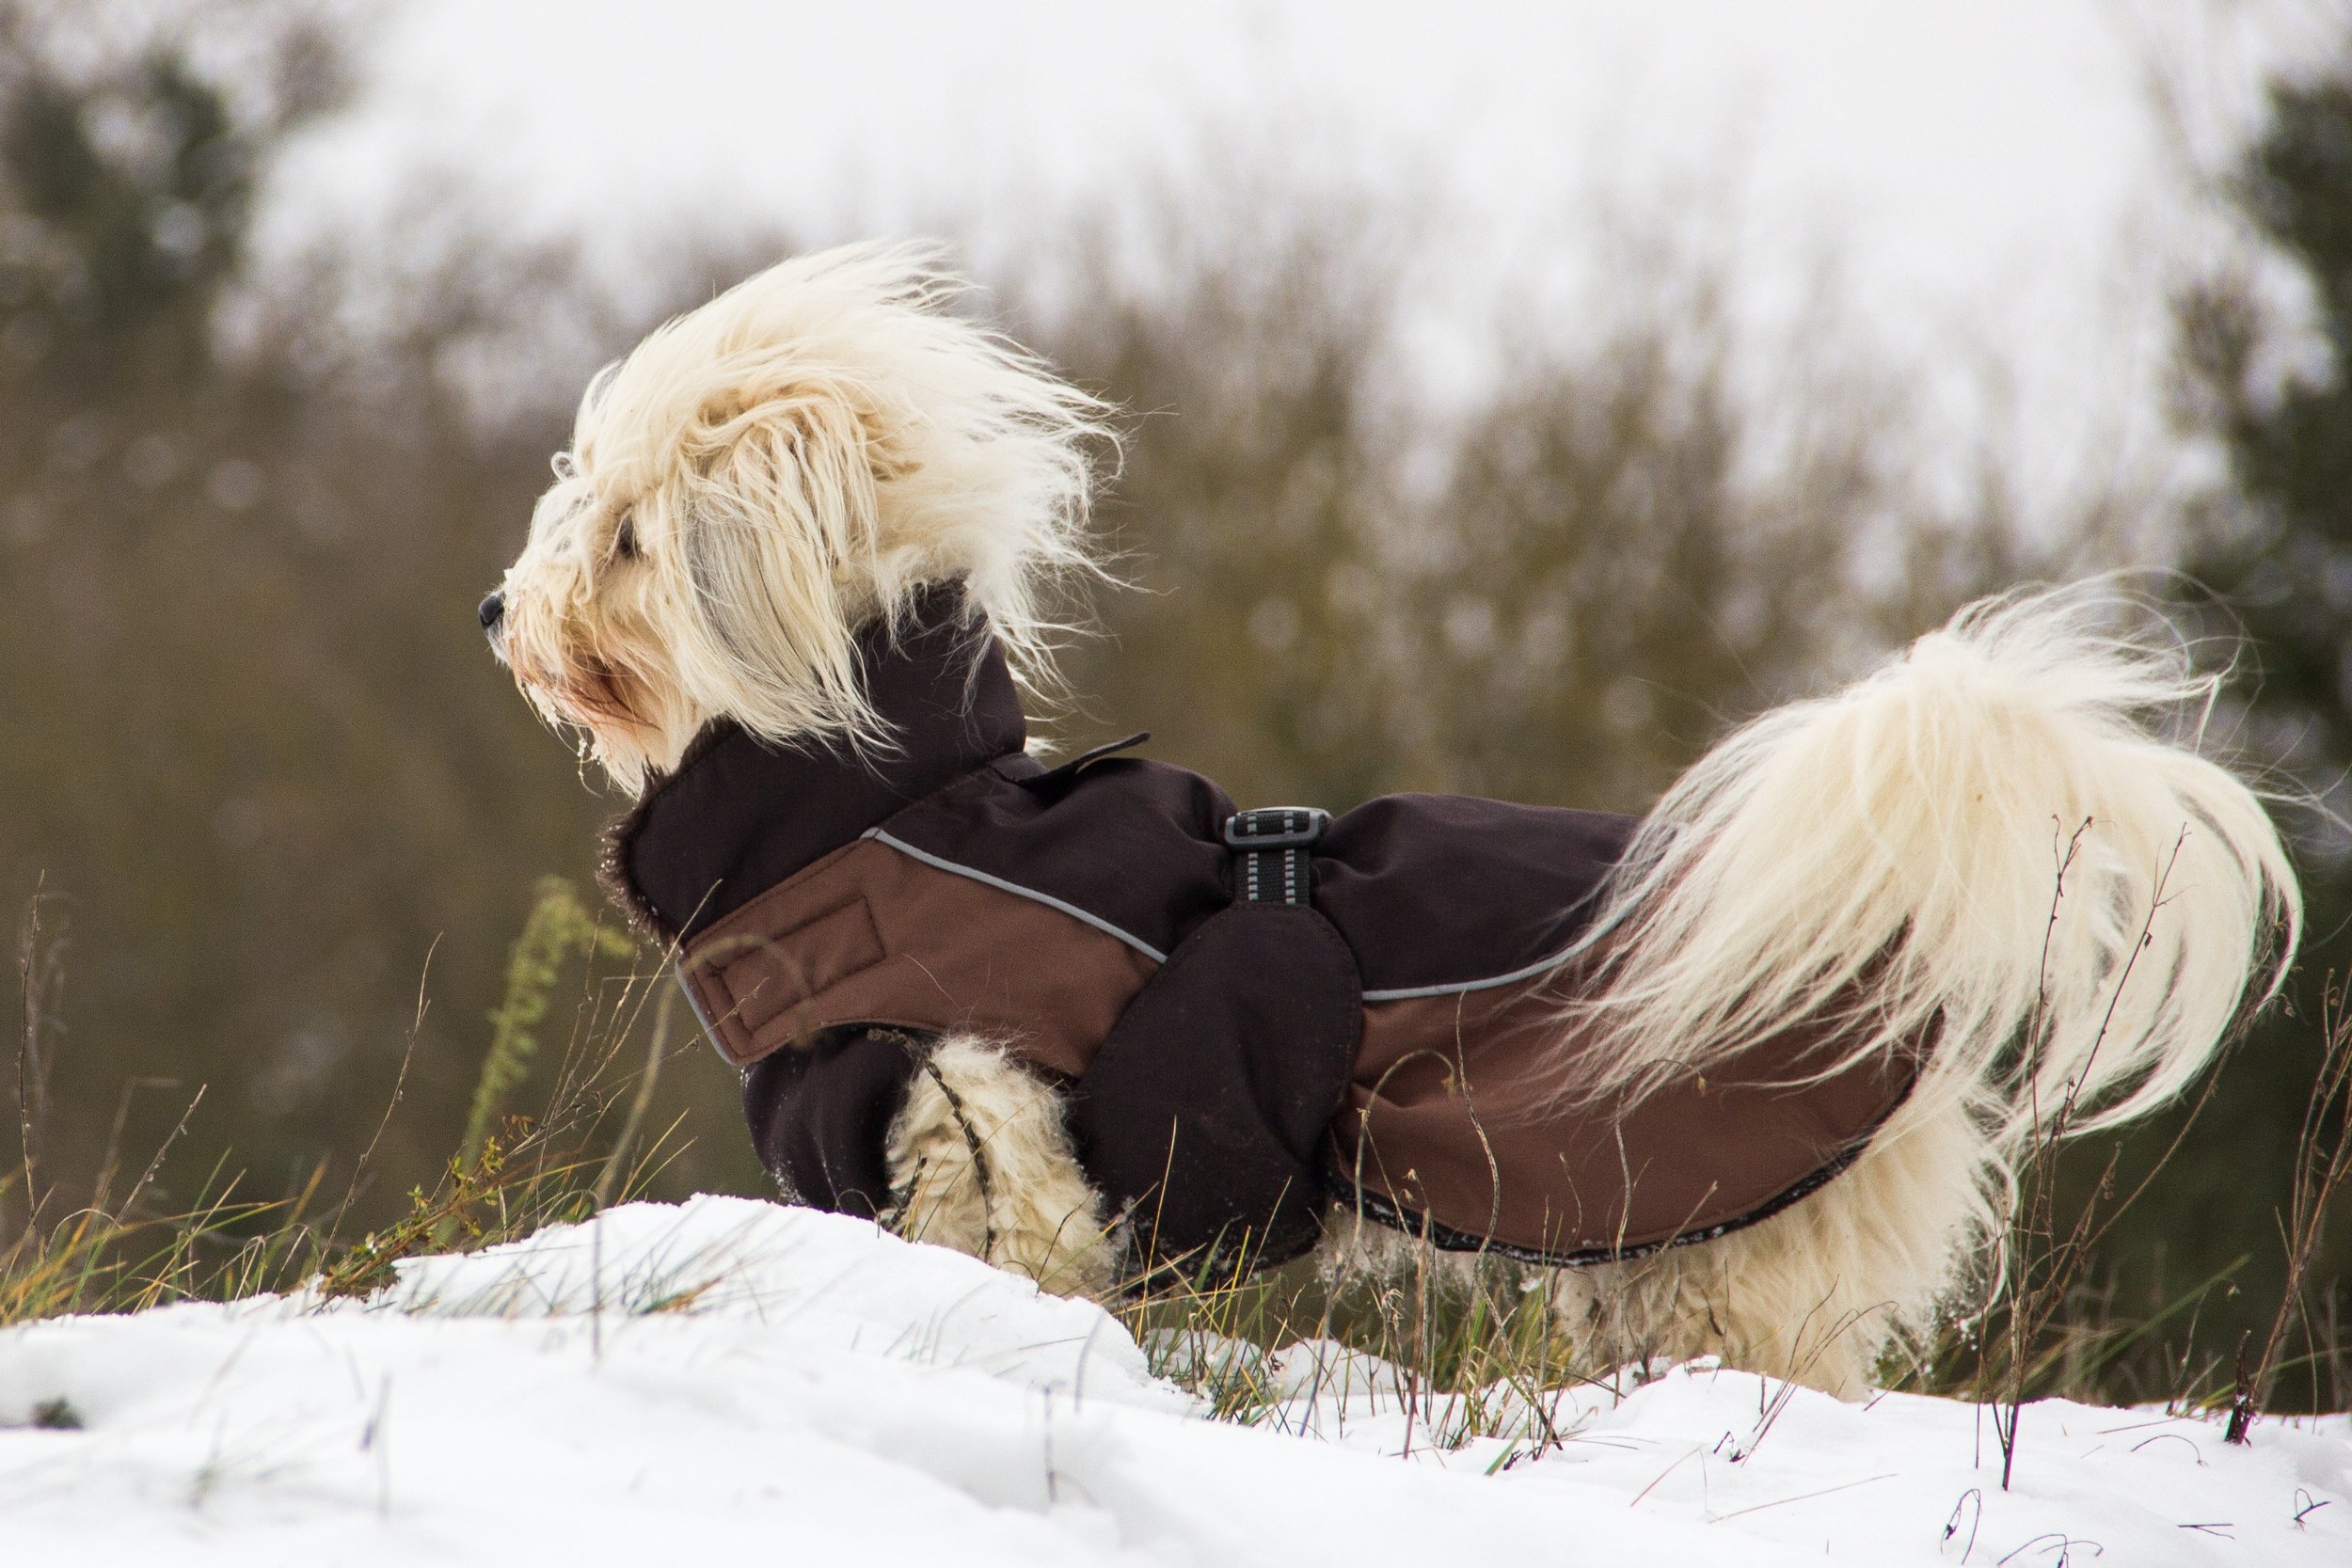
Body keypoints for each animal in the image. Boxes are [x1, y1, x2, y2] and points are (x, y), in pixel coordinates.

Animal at [482, 245, 2296, 1401]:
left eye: (629, 535)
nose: (501, 607)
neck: (888, 802)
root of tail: (1869, 908)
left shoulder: (978, 1103)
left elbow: (1015, 1247)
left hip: (1718, 1248)